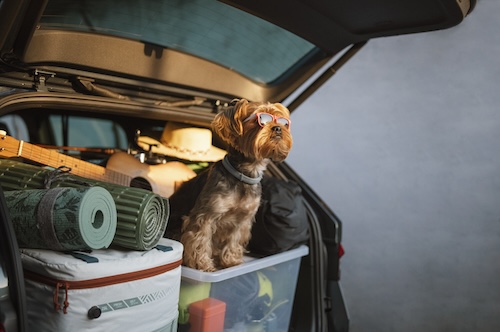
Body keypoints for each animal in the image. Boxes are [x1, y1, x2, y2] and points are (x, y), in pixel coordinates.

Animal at [167, 98, 292, 270]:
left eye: (283, 122)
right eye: (260, 119)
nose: (278, 128)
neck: (244, 174)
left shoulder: (243, 220)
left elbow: (234, 239)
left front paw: (230, 261)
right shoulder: (206, 215)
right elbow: (200, 239)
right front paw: (202, 265)